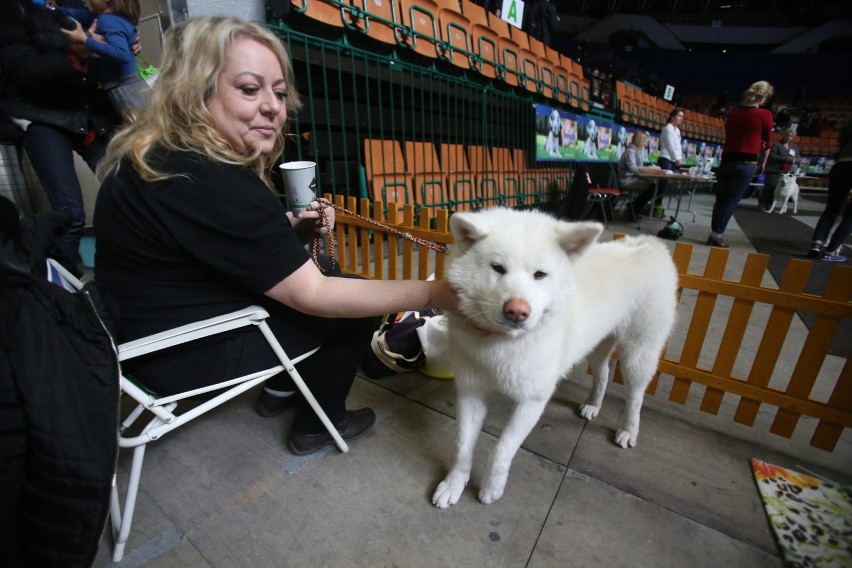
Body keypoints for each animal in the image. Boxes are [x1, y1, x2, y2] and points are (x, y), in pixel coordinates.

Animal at [432, 210, 680, 510]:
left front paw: (492, 487)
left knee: (635, 396)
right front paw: (453, 485)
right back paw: (592, 405)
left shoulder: (533, 399)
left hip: (637, 354)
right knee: (603, 374)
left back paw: (628, 430)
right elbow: (462, 446)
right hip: (596, 346)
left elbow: (502, 449)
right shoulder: (471, 390)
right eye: (498, 268)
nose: (517, 311)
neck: (505, 343)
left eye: (540, 274)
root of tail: (648, 244)